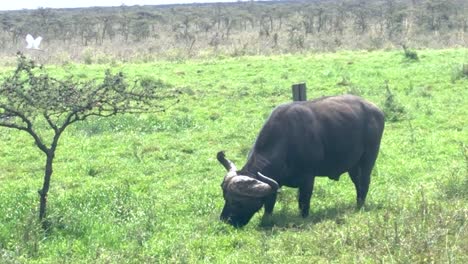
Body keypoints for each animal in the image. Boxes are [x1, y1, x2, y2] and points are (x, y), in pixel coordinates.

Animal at [218, 95, 386, 227]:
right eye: (225, 197)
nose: (225, 220)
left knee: (364, 182)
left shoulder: (308, 178)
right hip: (353, 166)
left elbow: (304, 201)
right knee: (357, 183)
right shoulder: (273, 183)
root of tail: (377, 111)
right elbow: (269, 204)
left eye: (238, 202)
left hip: (368, 160)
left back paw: (359, 206)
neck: (286, 141)